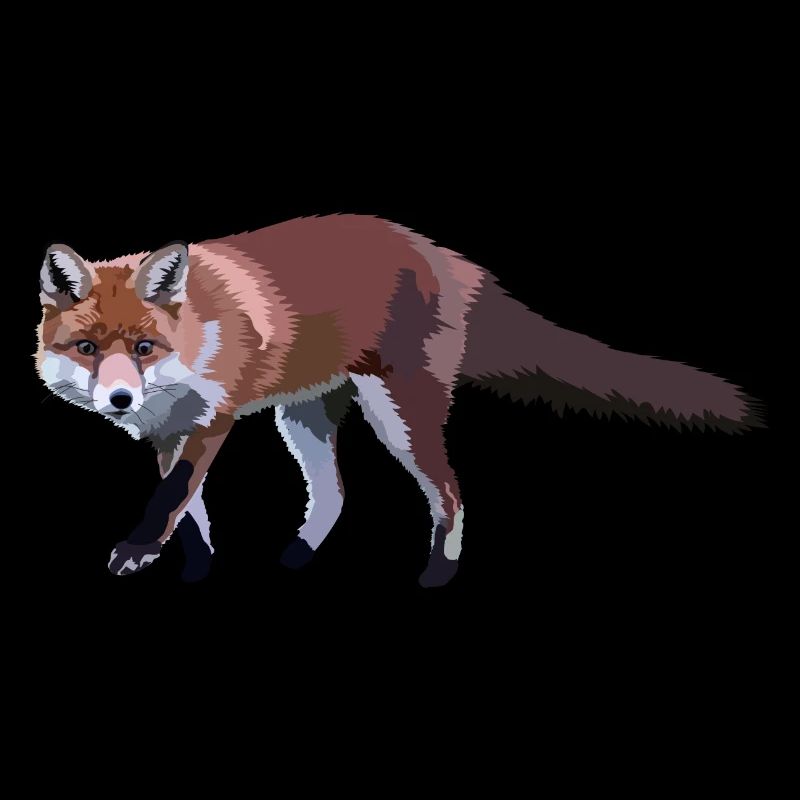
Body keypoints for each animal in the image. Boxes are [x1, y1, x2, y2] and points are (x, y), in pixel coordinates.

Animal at [36, 214, 763, 586]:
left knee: (450, 492)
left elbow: (171, 497)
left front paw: (137, 551)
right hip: (303, 418)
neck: (196, 333)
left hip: (398, 417)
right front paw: (195, 567)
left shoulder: (213, 419)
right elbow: (190, 512)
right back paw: (298, 558)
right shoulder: (167, 431)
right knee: (335, 493)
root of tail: (443, 251)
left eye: (144, 346)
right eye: (89, 349)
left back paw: (438, 574)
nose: (121, 398)